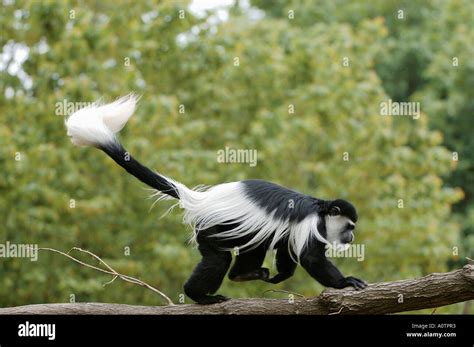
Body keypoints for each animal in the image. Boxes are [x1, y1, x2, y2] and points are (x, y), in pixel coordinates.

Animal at [65, 94, 368, 304]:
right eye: (350, 227)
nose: (351, 238)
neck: (322, 210)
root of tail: (201, 199)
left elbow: (286, 248)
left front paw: (280, 276)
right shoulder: (310, 224)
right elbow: (310, 257)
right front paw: (345, 282)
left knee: (253, 245)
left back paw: (242, 275)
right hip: (215, 227)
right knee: (217, 259)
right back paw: (200, 295)